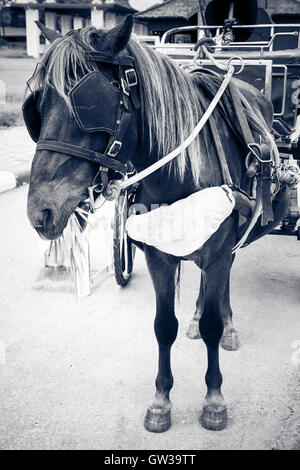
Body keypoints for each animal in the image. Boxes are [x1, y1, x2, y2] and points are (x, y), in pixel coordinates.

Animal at [25, 15, 290, 434]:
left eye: (87, 102)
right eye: (37, 105)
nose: (41, 211)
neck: (181, 170)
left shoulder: (217, 249)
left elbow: (213, 321)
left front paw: (214, 400)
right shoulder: (158, 256)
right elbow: (163, 326)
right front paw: (161, 402)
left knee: (225, 276)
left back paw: (227, 324)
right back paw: (196, 317)